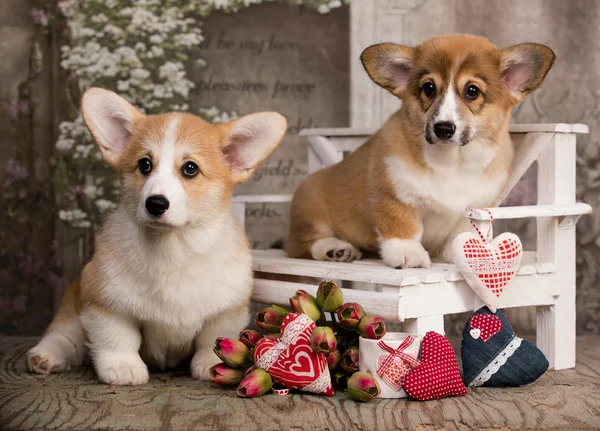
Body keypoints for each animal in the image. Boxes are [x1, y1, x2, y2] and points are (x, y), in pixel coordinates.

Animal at [29, 88, 288, 384]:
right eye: (144, 164)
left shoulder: (227, 309)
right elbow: (117, 338)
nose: (155, 204)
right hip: (75, 303)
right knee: (66, 335)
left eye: (190, 168)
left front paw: (211, 364)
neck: (173, 247)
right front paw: (122, 368)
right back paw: (45, 356)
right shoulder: (104, 301)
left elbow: (212, 339)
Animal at [284, 35, 552, 268]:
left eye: (472, 91)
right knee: (300, 245)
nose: (443, 128)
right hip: (309, 208)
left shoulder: (474, 207)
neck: (452, 162)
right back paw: (335, 249)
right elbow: (404, 228)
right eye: (429, 88)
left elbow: (462, 232)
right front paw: (408, 254)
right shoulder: (394, 196)